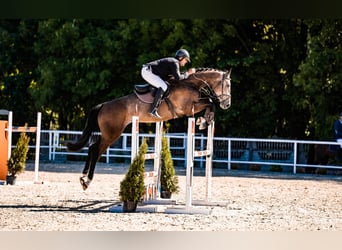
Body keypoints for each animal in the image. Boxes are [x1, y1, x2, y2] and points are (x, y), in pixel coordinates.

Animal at [66, 67, 232, 189]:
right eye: (228, 85)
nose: (227, 104)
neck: (191, 84)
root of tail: (103, 105)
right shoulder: (188, 108)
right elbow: (210, 102)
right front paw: (204, 120)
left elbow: (210, 102)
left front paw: (205, 121)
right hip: (112, 133)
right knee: (95, 149)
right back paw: (87, 180)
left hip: (110, 133)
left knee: (93, 148)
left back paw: (83, 177)